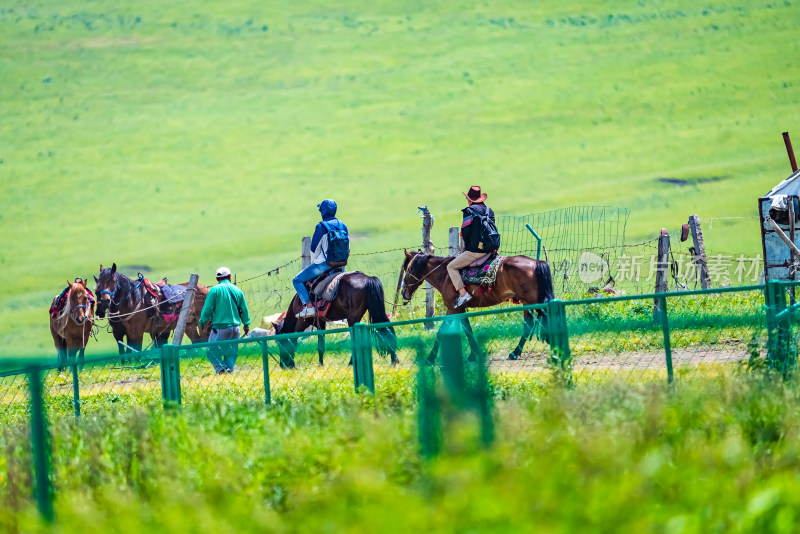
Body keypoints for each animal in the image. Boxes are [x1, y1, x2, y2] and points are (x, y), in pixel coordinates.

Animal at [396, 251, 552, 364]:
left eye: (408, 269)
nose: (404, 293)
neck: (445, 274)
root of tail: (536, 262)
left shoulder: (453, 309)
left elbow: (441, 332)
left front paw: (430, 358)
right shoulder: (459, 309)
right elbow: (468, 330)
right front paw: (474, 354)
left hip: (535, 302)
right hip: (527, 303)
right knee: (529, 325)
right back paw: (515, 353)